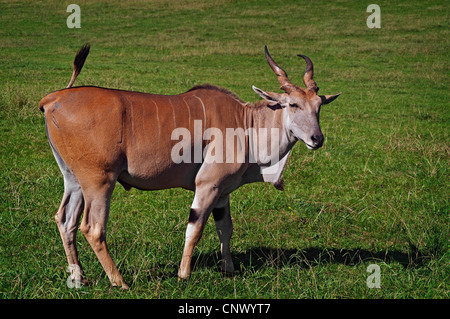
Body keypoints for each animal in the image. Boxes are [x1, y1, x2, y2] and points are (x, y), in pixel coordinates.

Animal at [40, 43, 340, 288]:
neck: (246, 123)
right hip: (99, 181)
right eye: (293, 104)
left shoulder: (223, 191)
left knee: (65, 220)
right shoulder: (207, 185)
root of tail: (53, 99)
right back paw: (119, 281)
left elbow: (225, 227)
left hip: (73, 180)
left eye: (319, 105)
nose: (317, 139)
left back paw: (78, 279)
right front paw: (183, 274)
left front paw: (228, 270)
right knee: (92, 228)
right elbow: (194, 229)